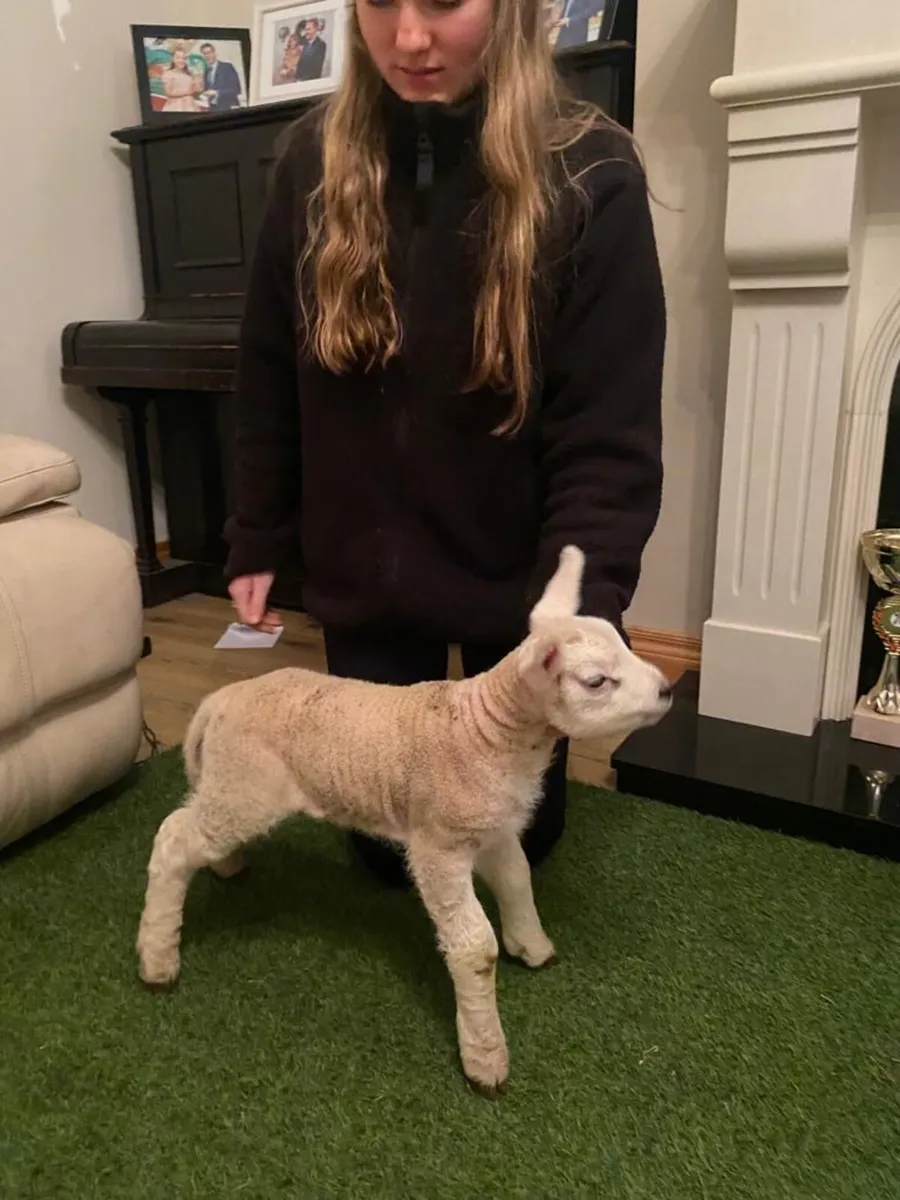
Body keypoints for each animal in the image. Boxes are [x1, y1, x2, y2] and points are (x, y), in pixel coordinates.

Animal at [136, 546, 671, 1097]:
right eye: (596, 681)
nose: (667, 691)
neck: (488, 731)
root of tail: (218, 702)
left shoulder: (493, 829)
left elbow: (518, 880)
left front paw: (533, 946)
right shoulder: (439, 845)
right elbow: (475, 948)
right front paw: (485, 1057)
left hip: (230, 785)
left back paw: (223, 867)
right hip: (245, 785)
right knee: (173, 838)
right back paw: (158, 959)